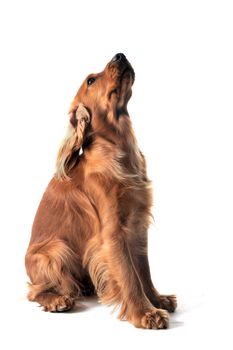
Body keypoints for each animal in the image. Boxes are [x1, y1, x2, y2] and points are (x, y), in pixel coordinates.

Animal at [24, 52, 177, 328]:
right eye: (91, 80)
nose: (120, 54)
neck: (120, 148)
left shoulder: (138, 225)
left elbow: (144, 271)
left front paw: (157, 300)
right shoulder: (112, 232)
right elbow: (129, 276)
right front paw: (145, 313)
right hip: (56, 250)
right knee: (34, 290)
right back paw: (57, 300)